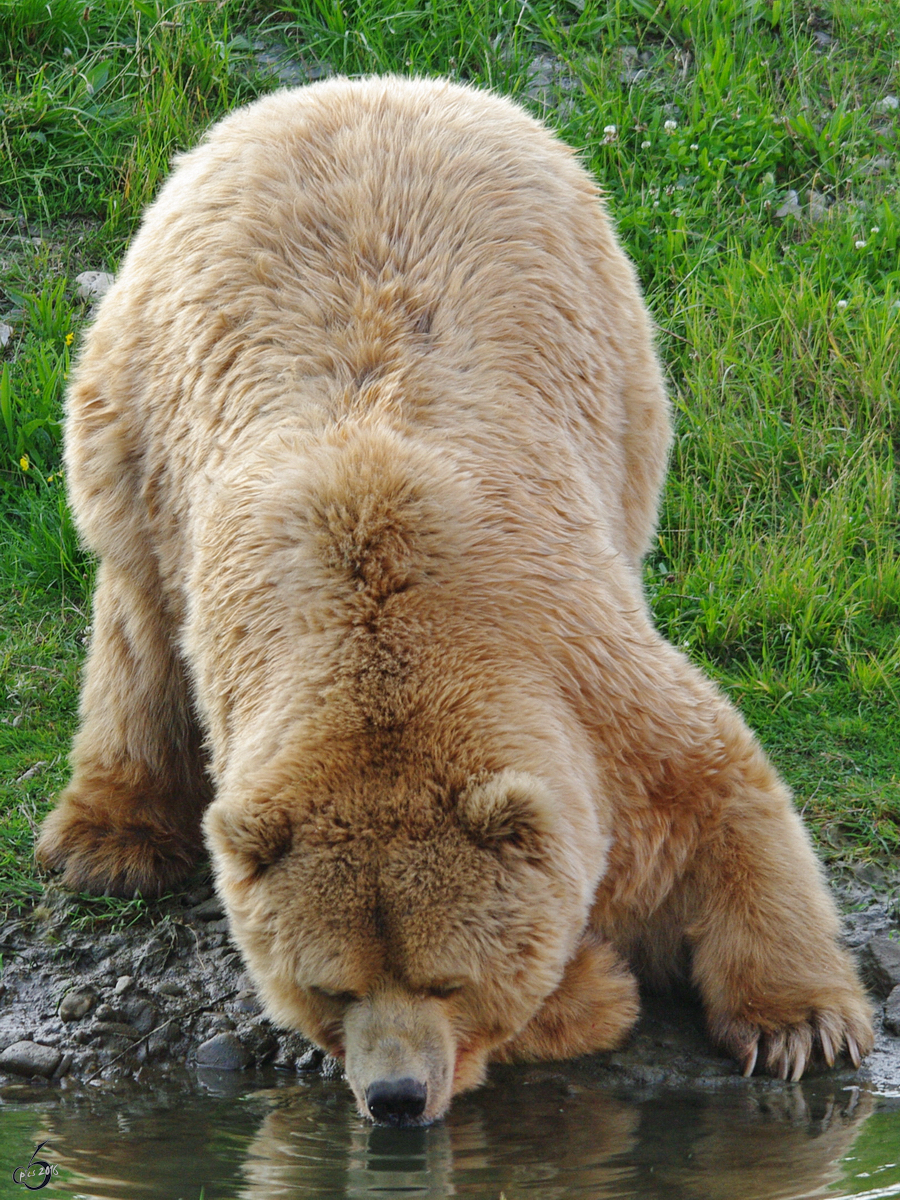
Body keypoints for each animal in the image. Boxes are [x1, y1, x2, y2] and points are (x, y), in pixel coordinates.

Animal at [38, 75, 878, 1123]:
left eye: (448, 978)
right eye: (330, 986)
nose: (395, 1098)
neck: (388, 623)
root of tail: (363, 83)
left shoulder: (588, 682)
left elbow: (720, 792)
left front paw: (801, 1024)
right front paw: (594, 985)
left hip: (625, 373)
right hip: (141, 414)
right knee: (139, 620)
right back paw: (106, 841)